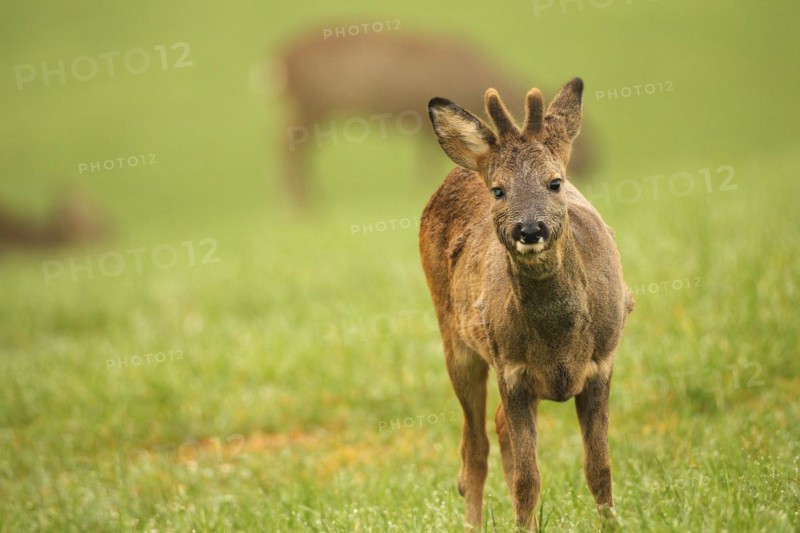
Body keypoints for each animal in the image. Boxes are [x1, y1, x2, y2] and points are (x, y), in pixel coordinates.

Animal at [419, 78, 634, 530]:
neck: (559, 341)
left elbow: (599, 468)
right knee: (474, 448)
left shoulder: (603, 362)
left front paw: (612, 522)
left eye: (555, 182)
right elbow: (527, 479)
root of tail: (465, 166)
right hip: (456, 341)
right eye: (499, 190)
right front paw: (522, 524)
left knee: (497, 429)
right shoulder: (511, 369)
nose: (529, 229)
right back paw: (474, 523)